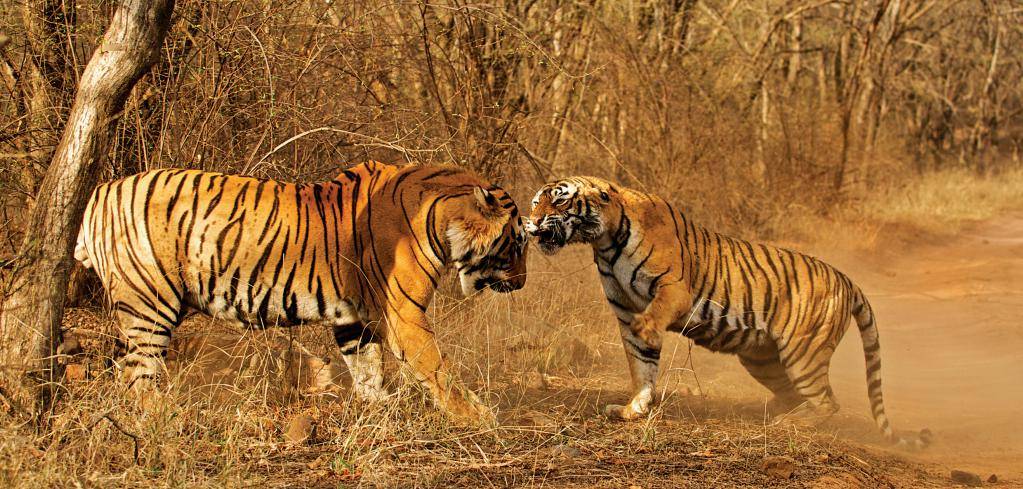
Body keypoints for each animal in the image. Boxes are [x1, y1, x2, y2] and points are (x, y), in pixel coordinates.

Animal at [74, 160, 527, 423]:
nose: (522, 282)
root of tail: (97, 193)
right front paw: (478, 417)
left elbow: (367, 367)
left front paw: (378, 409)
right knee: (137, 374)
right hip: (149, 302)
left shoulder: (355, 317)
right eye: (517, 243)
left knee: (124, 366)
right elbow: (437, 368)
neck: (442, 218)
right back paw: (163, 418)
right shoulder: (405, 314)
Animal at [523, 178, 932, 448]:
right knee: (798, 393)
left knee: (827, 401)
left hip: (804, 353)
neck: (605, 242)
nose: (530, 223)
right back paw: (773, 411)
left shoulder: (674, 290)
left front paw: (646, 332)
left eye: (558, 202)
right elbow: (641, 367)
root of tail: (848, 279)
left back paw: (786, 423)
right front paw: (632, 410)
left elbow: (650, 324)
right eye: (533, 203)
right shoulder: (623, 311)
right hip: (763, 360)